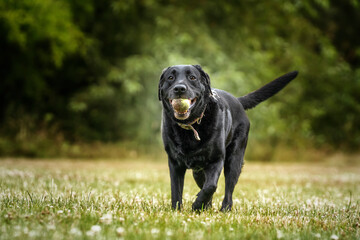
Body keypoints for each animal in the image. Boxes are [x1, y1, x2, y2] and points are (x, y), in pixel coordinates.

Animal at [158, 64, 298, 211]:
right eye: (170, 77)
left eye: (192, 77)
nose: (179, 88)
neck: (191, 126)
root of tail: (238, 101)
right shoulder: (175, 163)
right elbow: (176, 190)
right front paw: (177, 210)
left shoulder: (216, 159)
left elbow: (211, 186)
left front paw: (196, 205)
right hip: (198, 171)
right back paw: (206, 207)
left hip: (234, 160)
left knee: (228, 189)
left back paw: (224, 208)